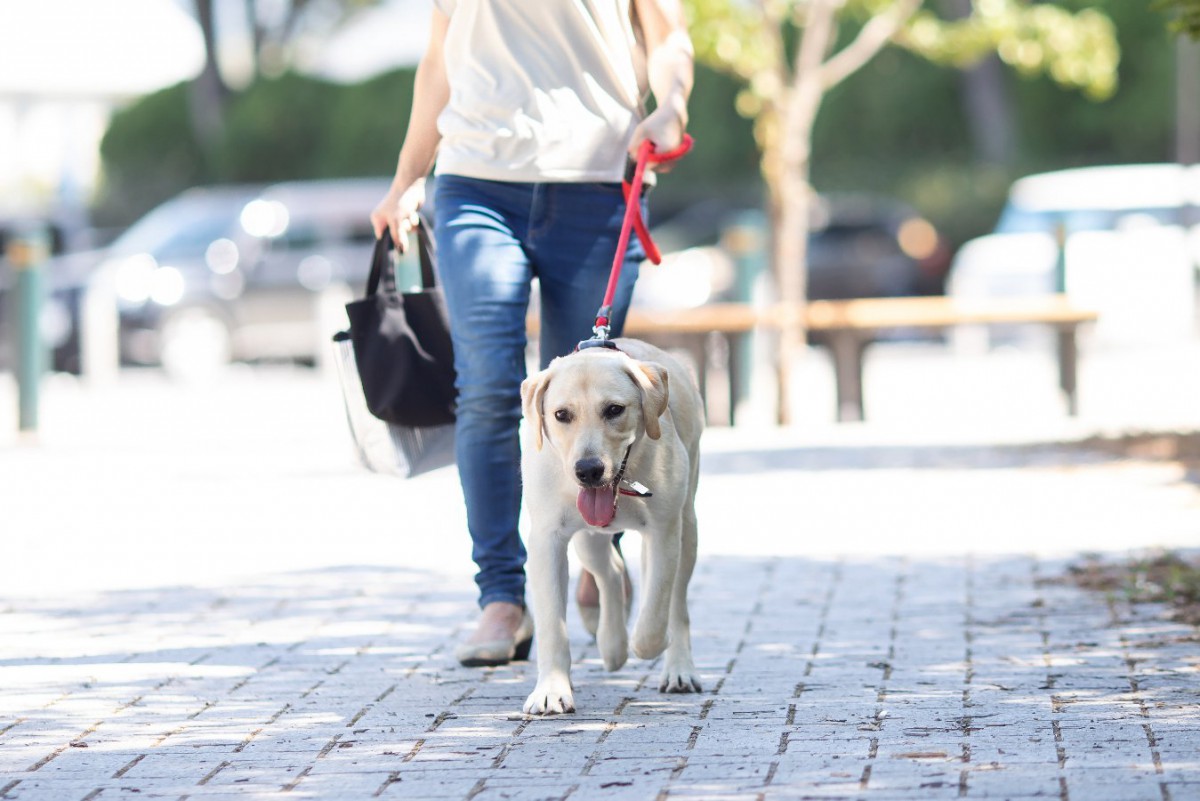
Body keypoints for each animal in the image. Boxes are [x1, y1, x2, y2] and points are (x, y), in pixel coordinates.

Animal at [518, 338, 700, 714]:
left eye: (614, 410)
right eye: (561, 415)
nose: (588, 470)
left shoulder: (663, 532)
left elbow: (654, 614)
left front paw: (649, 644)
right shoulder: (546, 540)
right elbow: (552, 626)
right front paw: (551, 690)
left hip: (687, 529)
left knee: (677, 604)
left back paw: (678, 668)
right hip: (588, 540)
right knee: (612, 573)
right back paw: (612, 644)